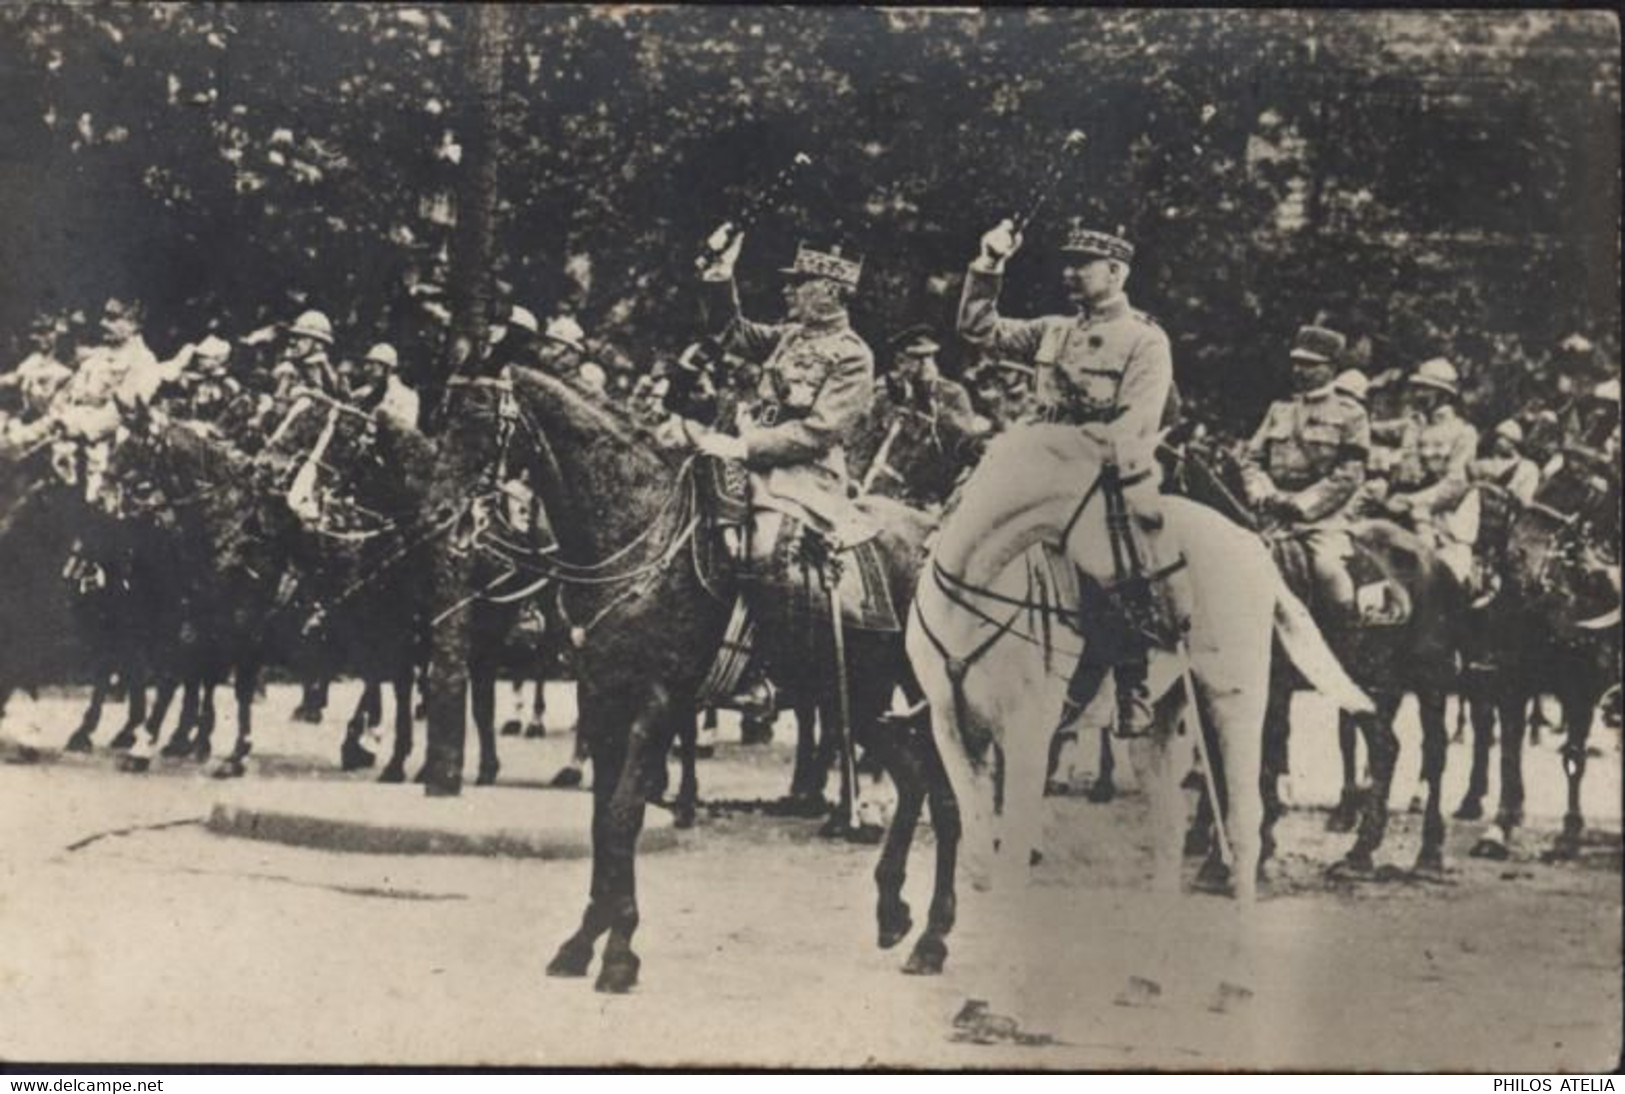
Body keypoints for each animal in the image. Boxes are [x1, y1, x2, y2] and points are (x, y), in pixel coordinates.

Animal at [903, 422, 1371, 910]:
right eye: (1150, 520)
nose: (1181, 617)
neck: (970, 600)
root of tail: (1253, 544)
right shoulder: (953, 733)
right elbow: (978, 862)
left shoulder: (1026, 738)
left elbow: (1011, 862)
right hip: (1159, 722)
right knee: (1168, 826)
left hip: (1235, 703)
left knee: (1244, 824)